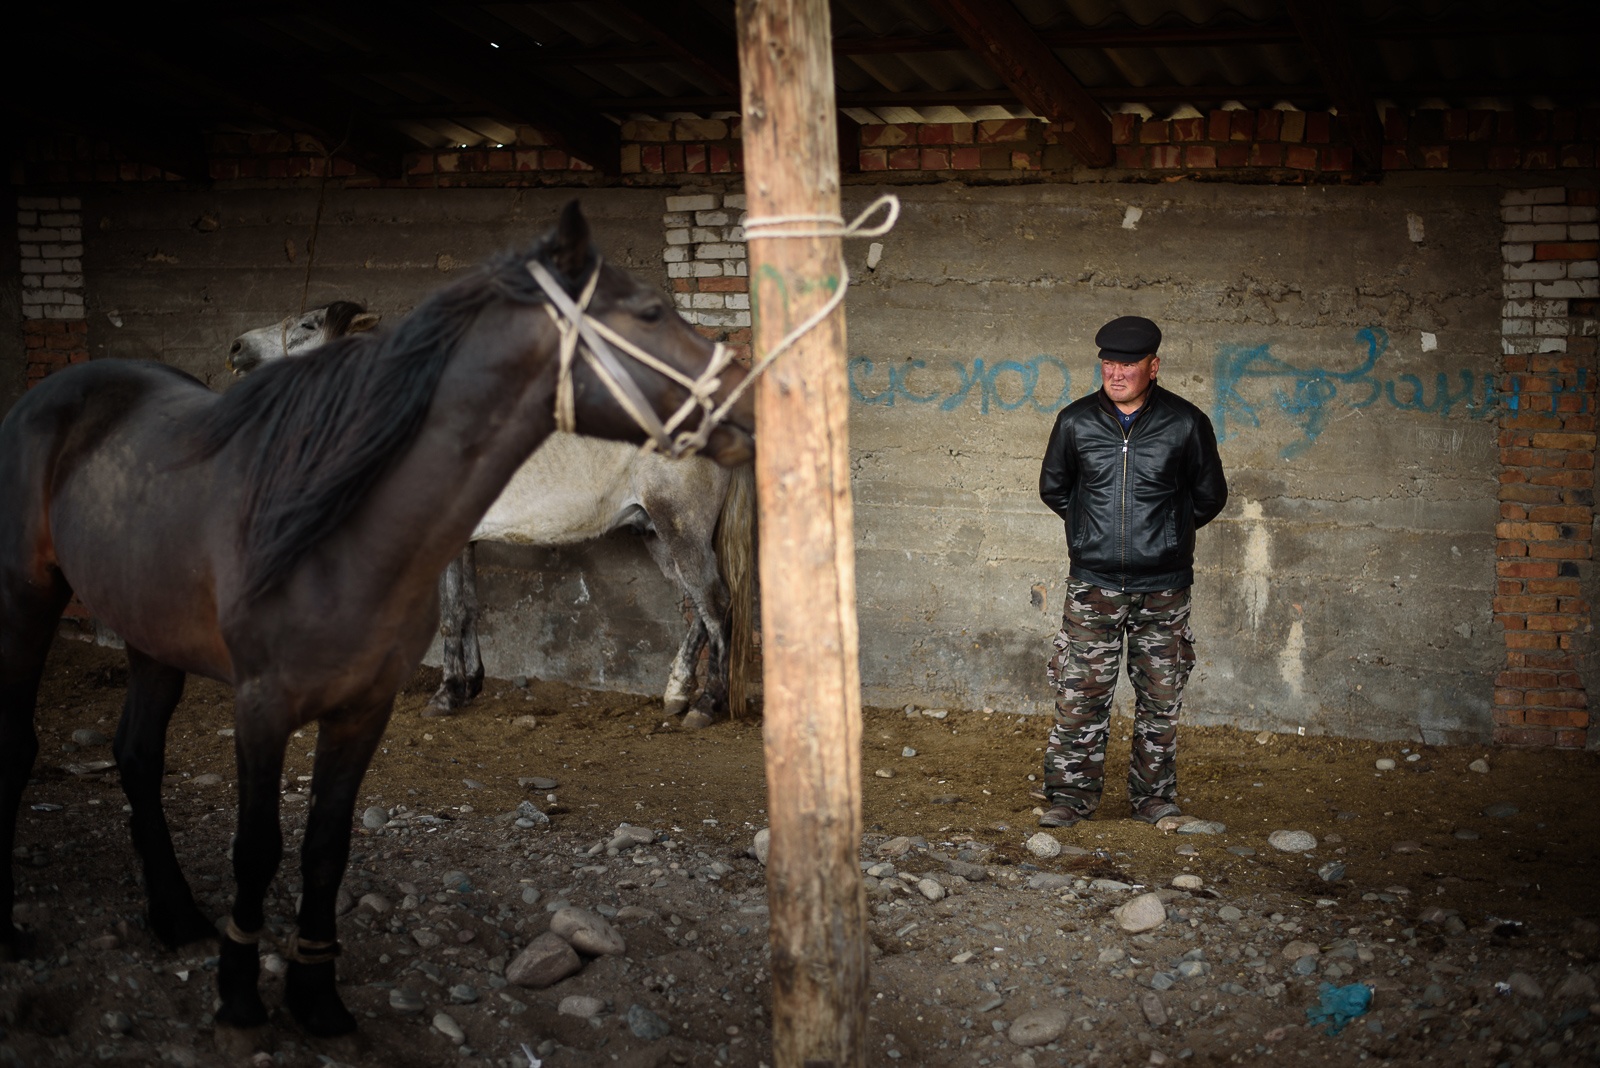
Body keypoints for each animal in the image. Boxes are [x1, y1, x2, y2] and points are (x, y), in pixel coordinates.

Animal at [228, 303, 752, 729]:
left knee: (715, 603)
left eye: (309, 324)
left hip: (679, 528)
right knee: (696, 609)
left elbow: (451, 614)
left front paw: (445, 694)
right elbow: (468, 608)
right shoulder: (464, 541)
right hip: (655, 533)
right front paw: (467, 686)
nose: (236, 348)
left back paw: (706, 705)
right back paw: (676, 693)